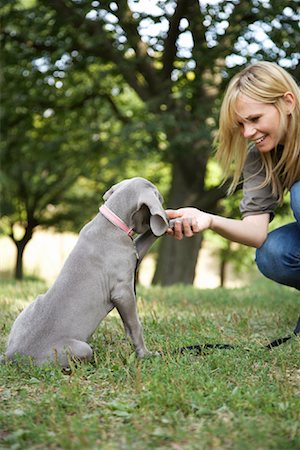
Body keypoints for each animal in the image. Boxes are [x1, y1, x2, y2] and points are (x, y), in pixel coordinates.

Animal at [3, 178, 169, 368]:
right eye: (160, 199)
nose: (165, 214)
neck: (113, 223)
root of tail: (10, 355)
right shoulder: (123, 292)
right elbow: (135, 326)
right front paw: (146, 354)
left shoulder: (134, 256)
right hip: (80, 348)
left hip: (28, 308)